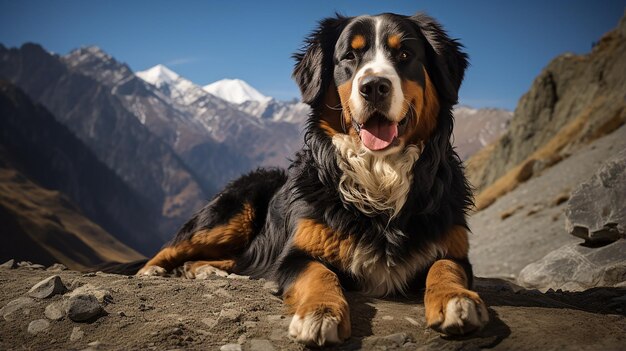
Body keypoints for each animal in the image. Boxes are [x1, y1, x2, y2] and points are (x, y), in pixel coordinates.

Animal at [136, 11, 488, 350]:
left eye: (404, 53)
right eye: (350, 56)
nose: (374, 86)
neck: (378, 175)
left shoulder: (453, 247)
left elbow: (445, 267)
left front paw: (456, 300)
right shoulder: (296, 254)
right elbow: (319, 274)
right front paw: (320, 314)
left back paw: (210, 272)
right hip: (233, 212)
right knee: (175, 247)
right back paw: (155, 271)